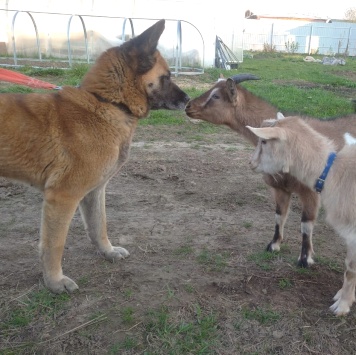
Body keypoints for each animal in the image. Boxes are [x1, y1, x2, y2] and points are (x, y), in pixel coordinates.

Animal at [0, 18, 191, 294]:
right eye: (165, 77)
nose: (188, 100)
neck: (108, 103)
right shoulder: (63, 197)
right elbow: (54, 245)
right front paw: (54, 281)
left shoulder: (95, 191)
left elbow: (99, 226)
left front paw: (107, 252)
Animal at [185, 76, 356, 270]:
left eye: (216, 96)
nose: (188, 106)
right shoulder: (280, 188)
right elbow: (279, 216)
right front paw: (273, 245)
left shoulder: (310, 192)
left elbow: (306, 224)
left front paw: (305, 259)